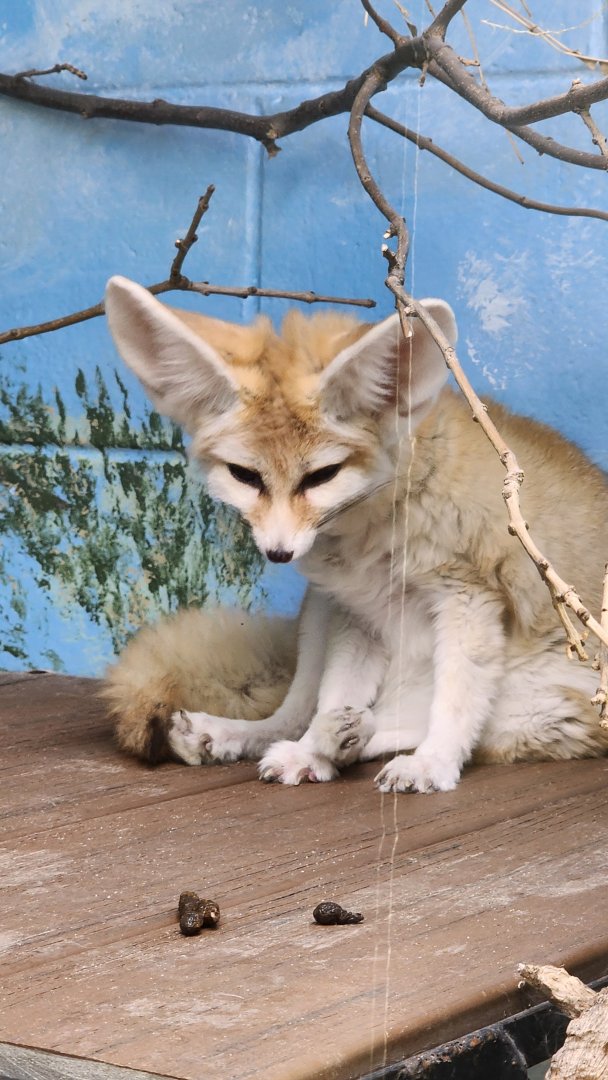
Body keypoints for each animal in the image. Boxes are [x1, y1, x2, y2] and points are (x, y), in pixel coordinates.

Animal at [102, 275, 608, 793]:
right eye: (245, 475)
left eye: (321, 476)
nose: (278, 553)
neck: (381, 528)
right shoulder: (356, 608)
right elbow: (336, 692)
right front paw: (310, 752)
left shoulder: (469, 597)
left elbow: (454, 705)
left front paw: (433, 763)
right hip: (317, 615)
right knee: (300, 713)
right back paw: (260, 738)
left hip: (545, 707)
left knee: (418, 723)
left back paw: (346, 744)